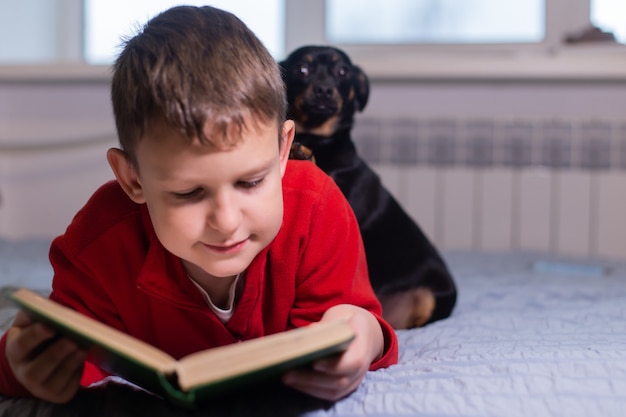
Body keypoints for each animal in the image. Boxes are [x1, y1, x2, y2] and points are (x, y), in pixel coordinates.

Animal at [280, 47, 456, 328]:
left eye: (342, 72)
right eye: (301, 70)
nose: (324, 89)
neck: (318, 139)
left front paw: (302, 156)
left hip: (431, 299)